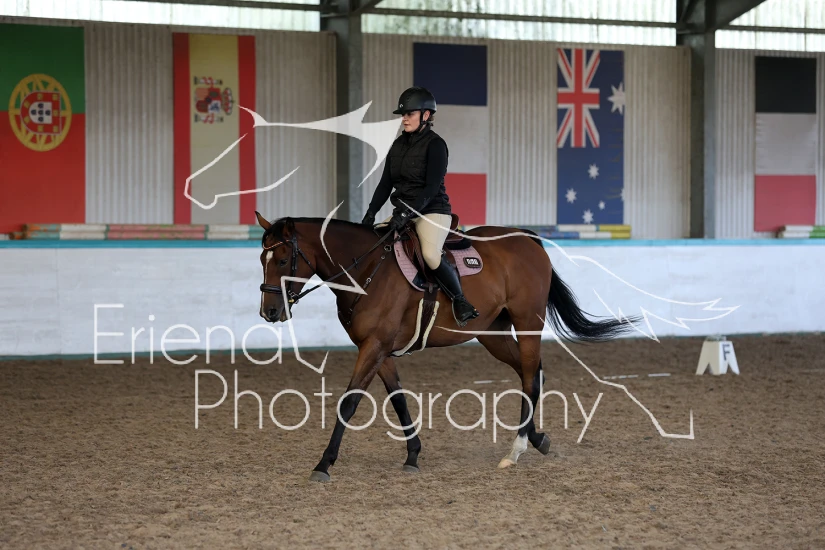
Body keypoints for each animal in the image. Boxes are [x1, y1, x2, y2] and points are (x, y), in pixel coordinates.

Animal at [254, 212, 637, 482]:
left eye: (283, 258)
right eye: (262, 259)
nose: (269, 312)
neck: (366, 270)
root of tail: (527, 238)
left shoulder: (374, 347)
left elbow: (349, 403)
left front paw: (324, 463)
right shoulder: (377, 349)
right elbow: (398, 400)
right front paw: (412, 455)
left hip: (528, 322)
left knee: (530, 376)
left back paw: (516, 450)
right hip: (493, 333)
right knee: (531, 375)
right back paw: (537, 439)